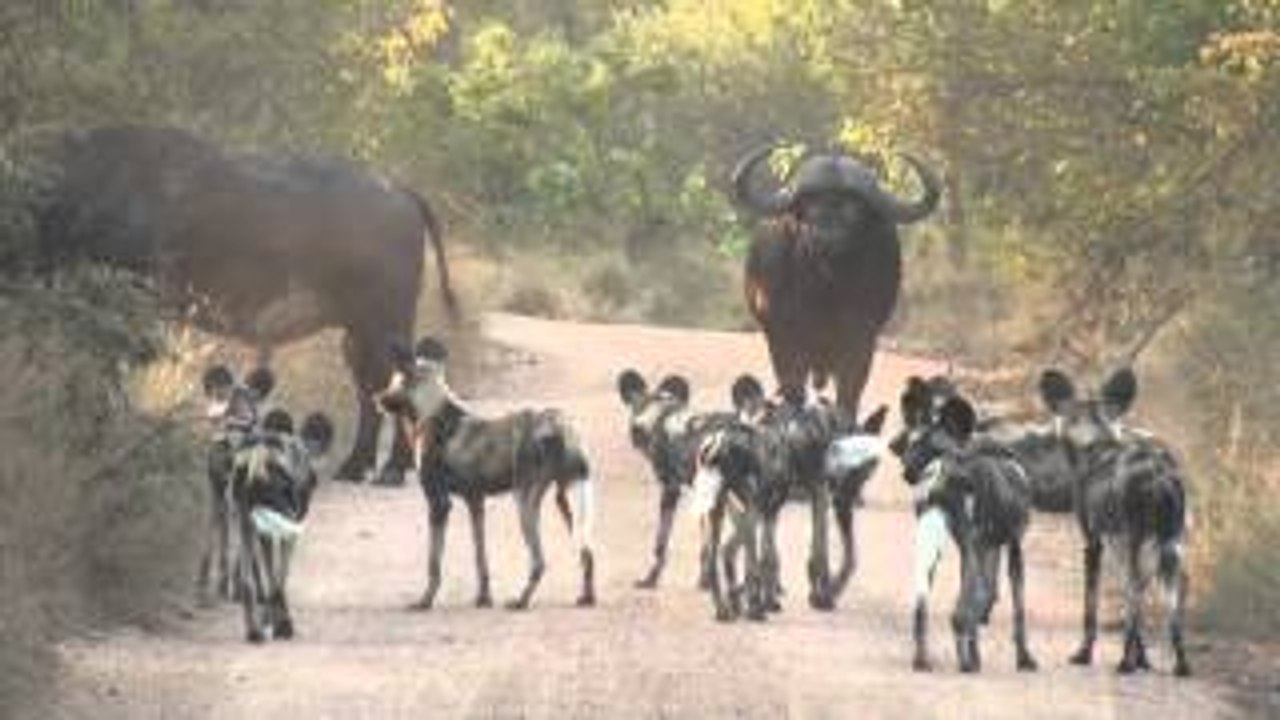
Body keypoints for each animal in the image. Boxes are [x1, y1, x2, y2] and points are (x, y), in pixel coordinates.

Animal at [36, 125, 457, 484]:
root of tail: (399, 191)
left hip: (386, 323)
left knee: (401, 379)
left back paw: (393, 469)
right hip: (357, 333)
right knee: (369, 388)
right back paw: (355, 466)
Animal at [730, 144, 942, 414]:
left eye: (853, 208)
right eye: (809, 207)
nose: (825, 238)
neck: (825, 288)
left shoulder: (862, 339)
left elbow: (849, 393)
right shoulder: (782, 337)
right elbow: (793, 389)